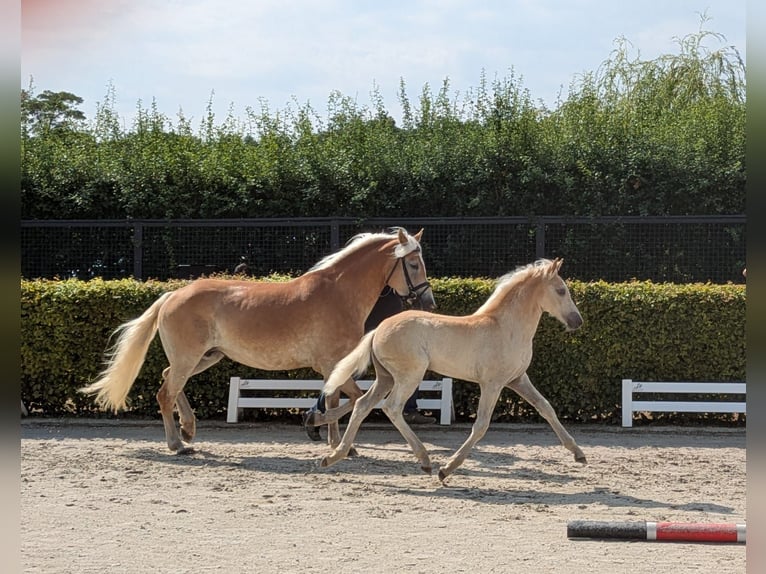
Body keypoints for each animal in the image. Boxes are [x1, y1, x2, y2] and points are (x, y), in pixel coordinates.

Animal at [80, 227, 436, 454]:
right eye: (413, 264)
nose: (428, 302)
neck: (338, 293)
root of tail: (172, 295)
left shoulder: (335, 366)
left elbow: (337, 399)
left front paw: (336, 443)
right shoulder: (330, 363)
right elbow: (353, 398)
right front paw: (321, 428)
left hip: (206, 357)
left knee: (169, 380)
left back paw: (188, 429)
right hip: (188, 358)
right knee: (165, 393)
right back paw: (177, 445)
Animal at [317, 258, 586, 483]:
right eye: (561, 290)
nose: (577, 321)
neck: (505, 327)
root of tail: (377, 330)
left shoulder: (518, 379)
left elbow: (546, 408)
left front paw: (579, 454)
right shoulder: (492, 384)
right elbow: (481, 425)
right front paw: (447, 469)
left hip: (386, 378)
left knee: (362, 404)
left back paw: (334, 456)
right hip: (408, 376)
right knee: (391, 407)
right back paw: (425, 461)